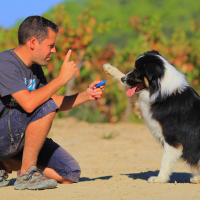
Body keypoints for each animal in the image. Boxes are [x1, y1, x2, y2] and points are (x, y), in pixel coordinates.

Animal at [103, 50, 200, 183]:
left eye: (137, 71)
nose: (123, 79)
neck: (165, 94)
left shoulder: (173, 139)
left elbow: (165, 160)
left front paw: (159, 179)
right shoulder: (142, 105)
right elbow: (127, 87)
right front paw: (109, 68)